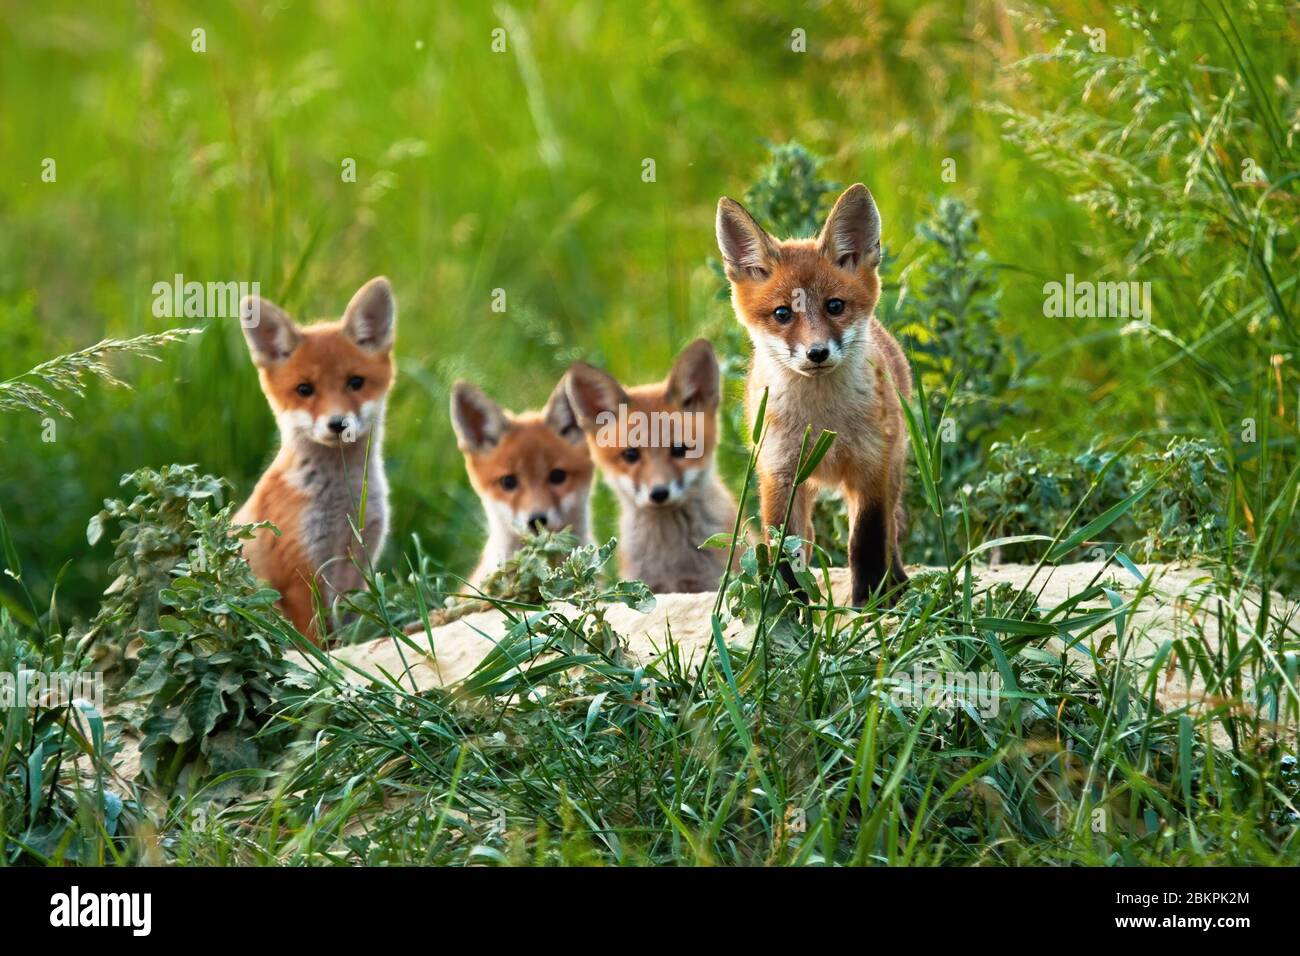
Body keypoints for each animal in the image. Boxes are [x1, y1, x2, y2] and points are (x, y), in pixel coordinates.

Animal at [234, 276, 397, 641]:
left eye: (355, 382)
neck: (341, 504)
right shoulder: (298, 573)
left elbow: (346, 627)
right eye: (304, 389)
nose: (338, 424)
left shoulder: (359, 560)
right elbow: (317, 643)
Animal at [715, 183, 911, 606]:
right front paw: (789, 609)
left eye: (834, 306)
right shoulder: (780, 474)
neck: (823, 423)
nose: (817, 353)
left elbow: (866, 542)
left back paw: (897, 583)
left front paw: (868, 602)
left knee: (890, 529)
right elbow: (785, 551)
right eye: (783, 314)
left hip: (894, 465)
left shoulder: (872, 468)